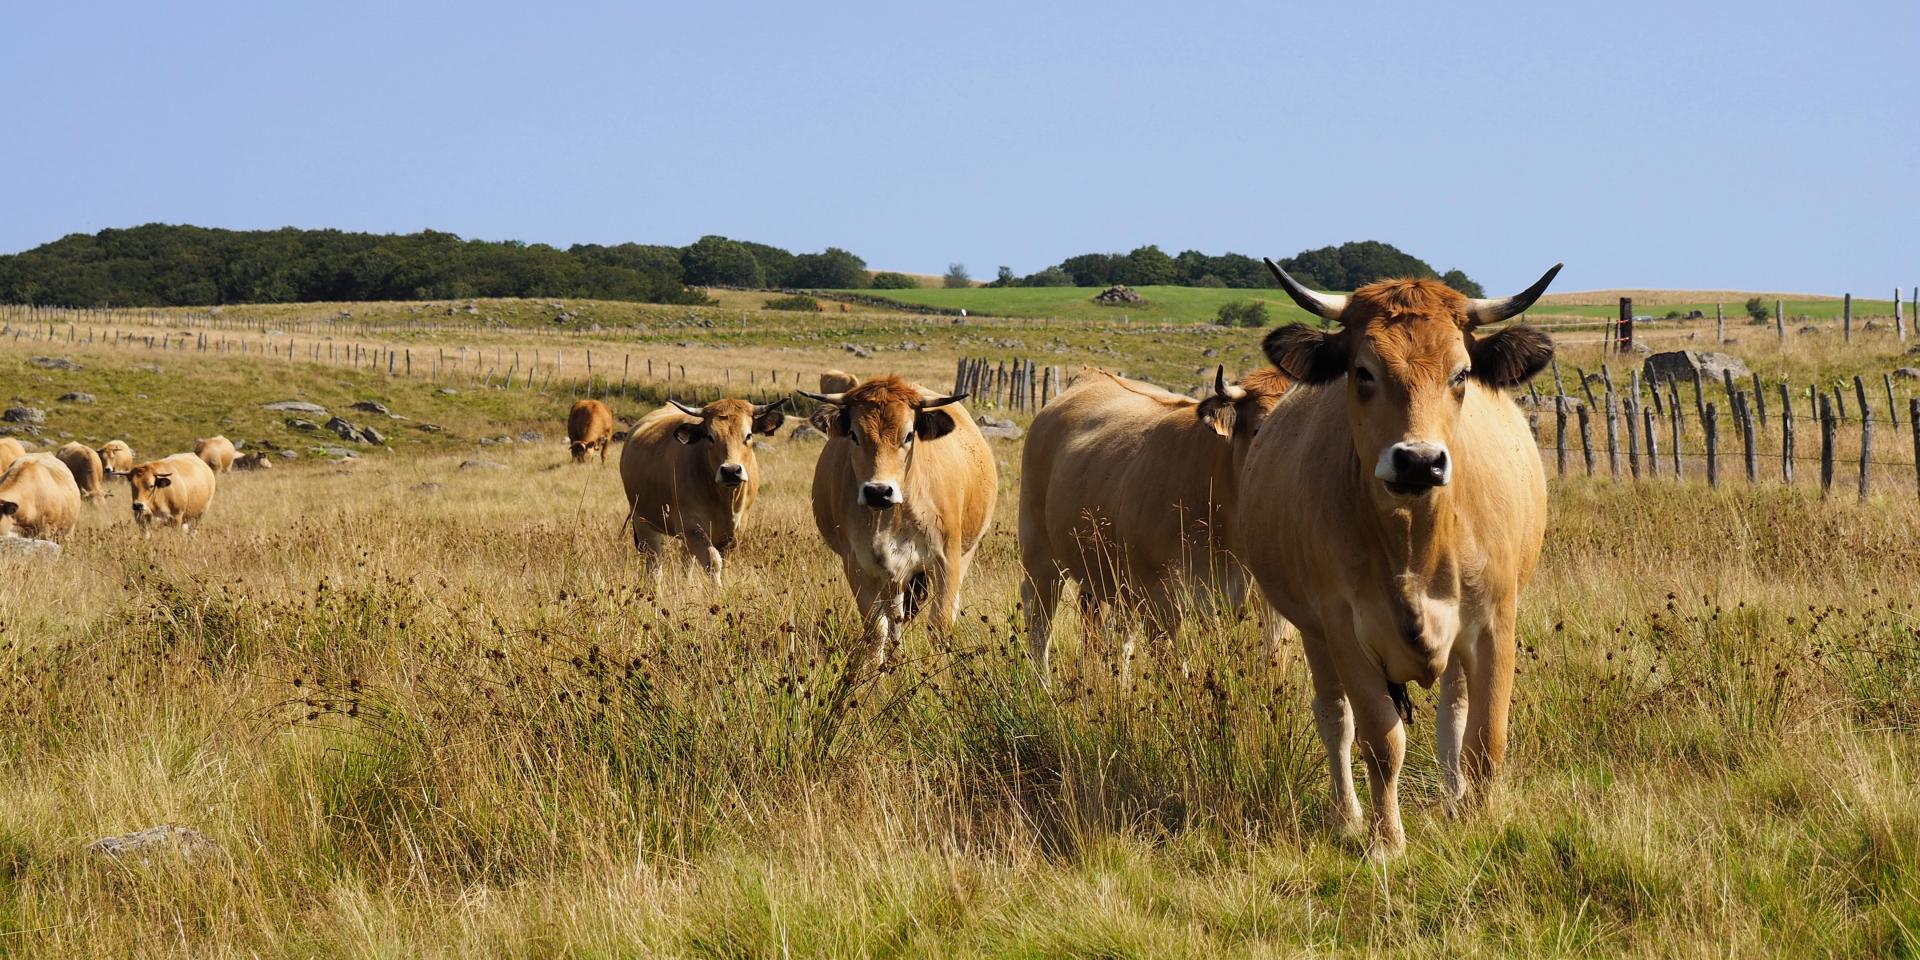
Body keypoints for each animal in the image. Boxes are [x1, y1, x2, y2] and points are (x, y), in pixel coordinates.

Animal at [622, 395, 787, 583]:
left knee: (686, 560)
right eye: (710, 436)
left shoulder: (735, 531)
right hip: (643, 522)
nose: (731, 471)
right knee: (655, 565)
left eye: (749, 435)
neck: (724, 499)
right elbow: (713, 561)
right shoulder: (691, 527)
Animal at [802, 370, 998, 672]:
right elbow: (877, 628)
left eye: (908, 435)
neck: (889, 516)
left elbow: (940, 623)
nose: (878, 491)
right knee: (896, 615)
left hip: (964, 551)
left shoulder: (946, 560)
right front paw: (875, 674)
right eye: (854, 434)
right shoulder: (858, 565)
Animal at [1021, 364, 1290, 675]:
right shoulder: (1160, 599)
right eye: (1260, 429)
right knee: (1039, 626)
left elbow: (1272, 662)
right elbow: (1176, 669)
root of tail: (1092, 375)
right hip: (1040, 554)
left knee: (1114, 636)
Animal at [1236, 257, 1566, 856]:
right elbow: (1380, 740)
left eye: (1461, 375)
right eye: (1363, 372)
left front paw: (1480, 823)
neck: (1416, 545)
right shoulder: (1344, 629)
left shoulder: (1495, 624)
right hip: (1313, 633)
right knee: (1334, 719)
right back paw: (1347, 816)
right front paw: (1385, 841)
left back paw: (1456, 800)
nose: (1418, 461)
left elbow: (1485, 737)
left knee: (1454, 713)